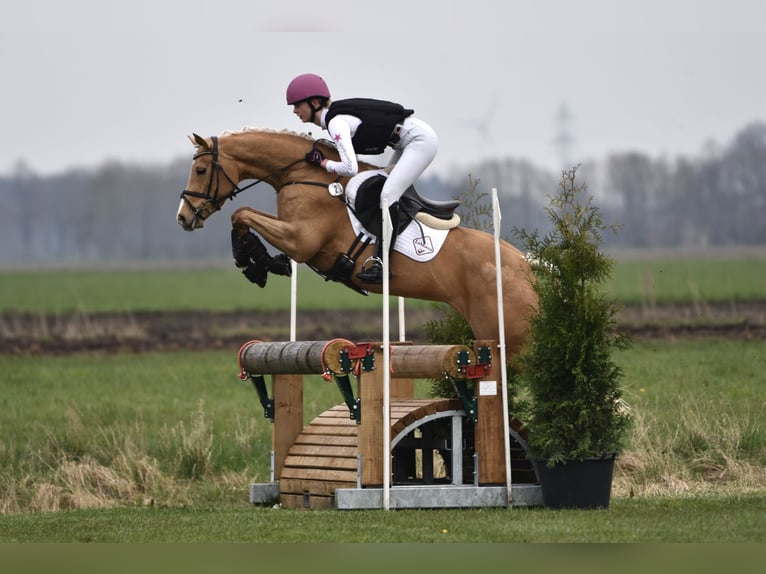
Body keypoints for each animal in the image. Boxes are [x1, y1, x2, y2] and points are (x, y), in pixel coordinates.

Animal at [178, 129, 540, 362]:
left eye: (201, 169)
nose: (184, 217)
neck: (306, 175)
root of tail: (526, 265)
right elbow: (241, 215)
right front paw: (261, 262)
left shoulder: (301, 239)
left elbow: (241, 213)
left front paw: (256, 261)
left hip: (509, 338)